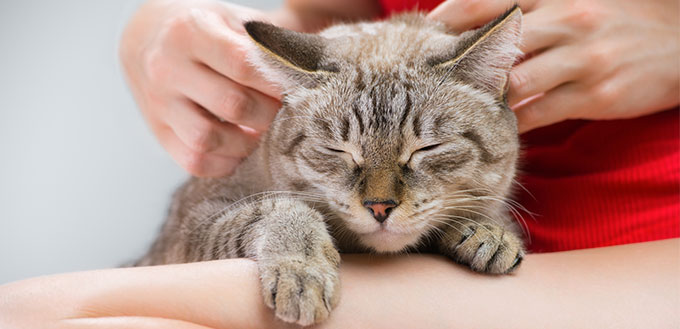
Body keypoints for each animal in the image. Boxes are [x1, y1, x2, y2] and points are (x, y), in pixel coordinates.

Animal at [137, 5, 524, 326]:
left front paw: (490, 230)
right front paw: (302, 272)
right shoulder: (193, 223)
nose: (379, 207)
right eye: (338, 150)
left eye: (427, 148)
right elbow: (275, 208)